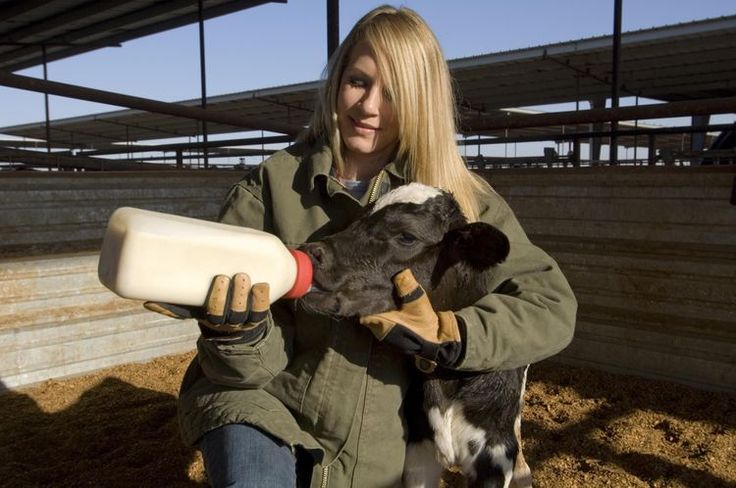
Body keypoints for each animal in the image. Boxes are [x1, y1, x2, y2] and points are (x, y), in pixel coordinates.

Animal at [302, 183, 532, 488]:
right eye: (358, 219)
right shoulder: (418, 449)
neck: (445, 383)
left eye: (407, 236)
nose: (311, 251)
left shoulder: (493, 455)